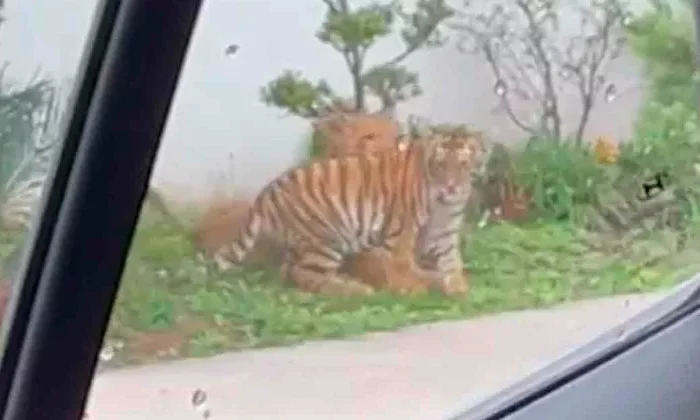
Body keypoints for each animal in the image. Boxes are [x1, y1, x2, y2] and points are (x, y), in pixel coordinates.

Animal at [212, 132, 485, 296]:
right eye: (441, 165)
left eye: (463, 165)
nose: (451, 187)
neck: (444, 205)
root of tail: (267, 191)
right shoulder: (401, 232)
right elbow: (402, 265)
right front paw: (411, 289)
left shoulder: (444, 232)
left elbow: (452, 261)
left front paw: (458, 288)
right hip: (327, 235)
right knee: (308, 274)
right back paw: (356, 289)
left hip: (305, 242)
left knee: (292, 273)